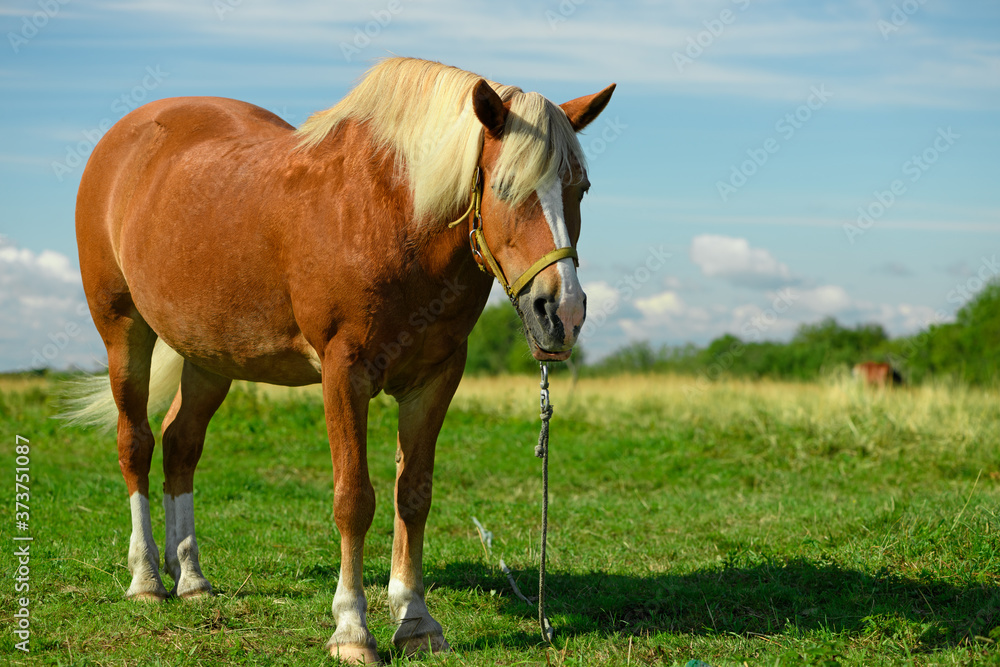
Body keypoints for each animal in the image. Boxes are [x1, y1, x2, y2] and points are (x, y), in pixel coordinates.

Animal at [64, 57, 615, 663]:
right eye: (504, 186)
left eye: (581, 187)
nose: (562, 311)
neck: (393, 213)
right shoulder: (344, 373)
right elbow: (354, 498)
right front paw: (352, 629)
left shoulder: (435, 379)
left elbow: (412, 495)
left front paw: (416, 621)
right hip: (124, 331)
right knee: (135, 443)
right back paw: (146, 579)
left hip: (209, 355)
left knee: (180, 445)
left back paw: (190, 578)